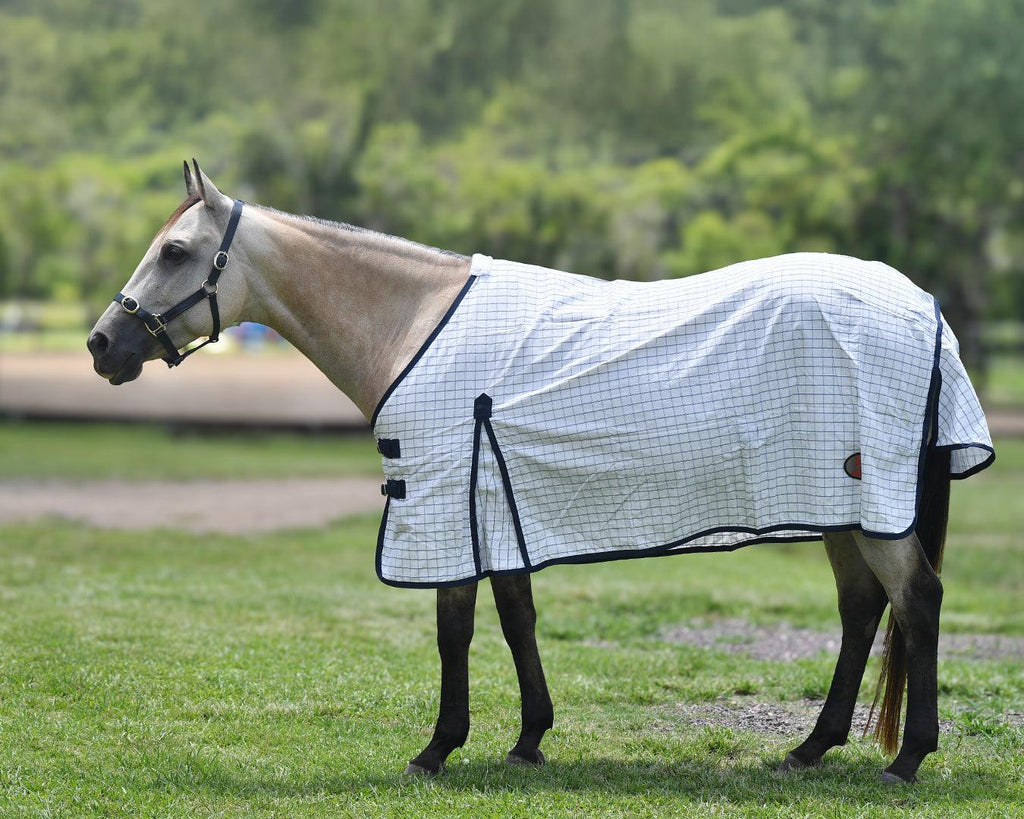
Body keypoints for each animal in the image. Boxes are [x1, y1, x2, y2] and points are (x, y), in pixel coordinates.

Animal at [88, 160, 994, 784]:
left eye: (176, 250)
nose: (102, 345)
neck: (416, 324)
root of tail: (924, 307)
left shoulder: (445, 502)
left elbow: (454, 628)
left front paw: (437, 748)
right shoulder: (496, 502)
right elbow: (517, 617)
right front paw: (528, 738)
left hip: (873, 506)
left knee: (916, 599)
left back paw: (907, 759)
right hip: (845, 504)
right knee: (862, 608)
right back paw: (811, 747)